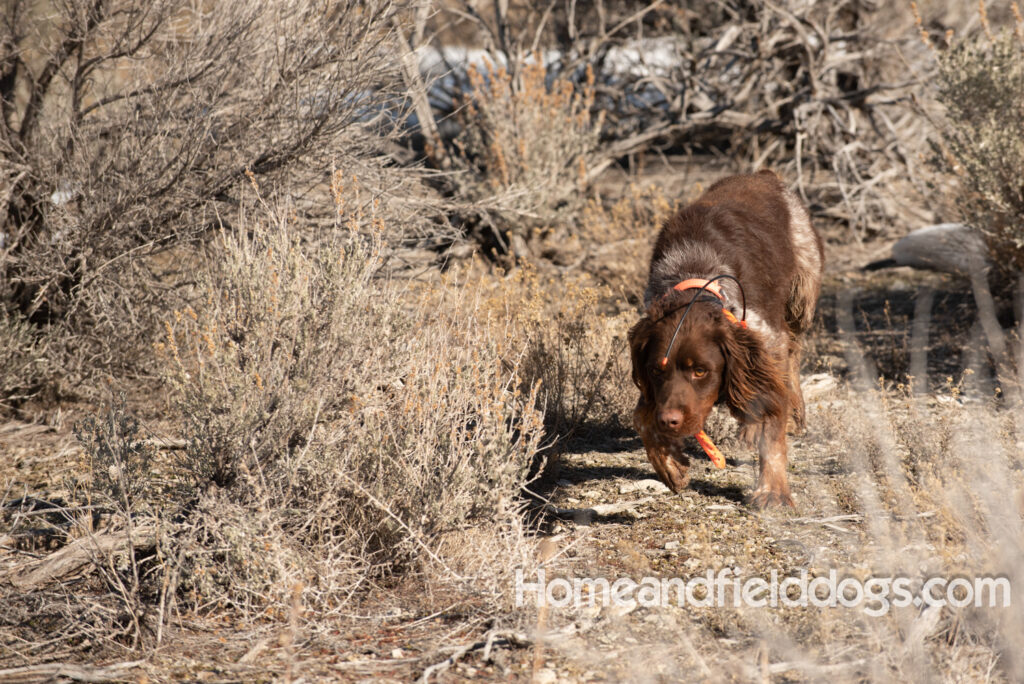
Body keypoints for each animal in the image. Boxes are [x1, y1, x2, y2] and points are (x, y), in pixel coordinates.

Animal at [626, 171, 819, 505]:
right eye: (654, 370)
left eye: (701, 371)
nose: (669, 421)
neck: (694, 272)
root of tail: (763, 175)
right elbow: (641, 416)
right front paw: (670, 464)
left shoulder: (767, 340)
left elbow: (772, 422)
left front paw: (772, 490)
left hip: (801, 297)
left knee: (792, 358)